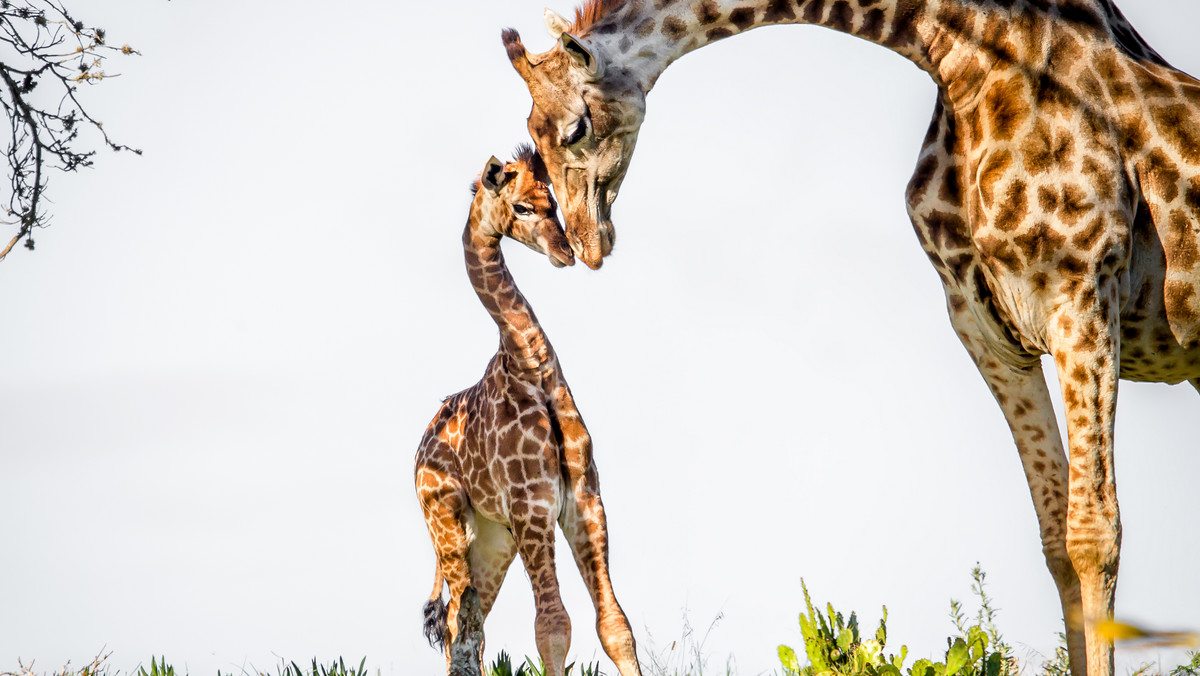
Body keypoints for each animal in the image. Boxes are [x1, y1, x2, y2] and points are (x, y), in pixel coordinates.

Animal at [420, 147, 648, 676]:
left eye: (553, 201)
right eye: (521, 207)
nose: (566, 251)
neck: (530, 367)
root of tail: (418, 450)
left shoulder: (584, 501)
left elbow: (615, 625)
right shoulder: (533, 508)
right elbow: (552, 625)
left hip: (492, 540)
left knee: (465, 628)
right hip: (448, 525)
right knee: (461, 629)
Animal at [501, 1, 1200, 676]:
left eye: (574, 130)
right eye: (529, 137)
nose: (585, 244)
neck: (965, 53)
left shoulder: (1081, 293)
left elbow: (1094, 533)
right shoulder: (988, 331)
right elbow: (1056, 540)